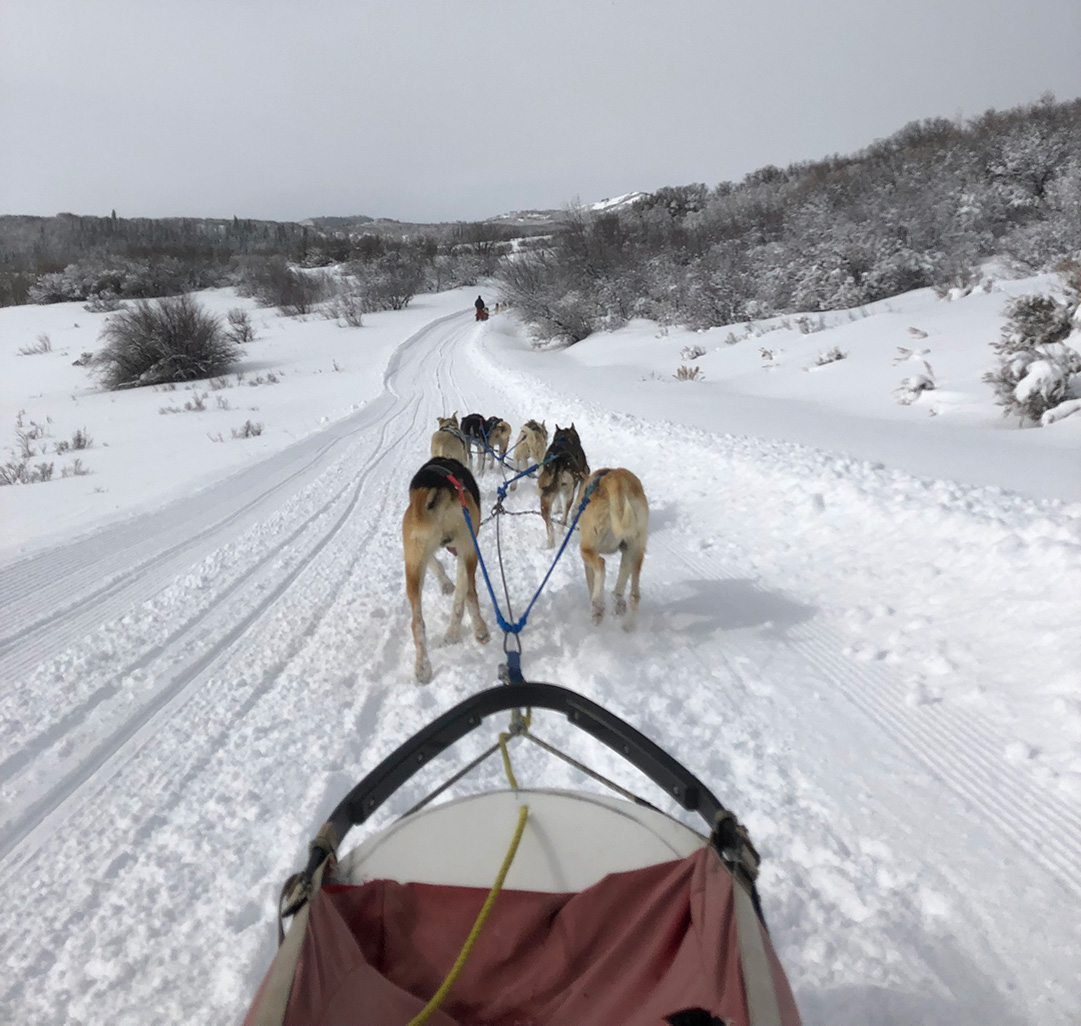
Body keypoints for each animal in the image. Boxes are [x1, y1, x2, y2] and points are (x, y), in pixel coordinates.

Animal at [402, 456, 490, 678]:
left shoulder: (419, 556)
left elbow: (436, 564)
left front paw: (446, 585)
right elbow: (464, 593)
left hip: (413, 567)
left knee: (417, 623)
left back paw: (423, 668)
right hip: (469, 550)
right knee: (469, 594)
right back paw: (476, 630)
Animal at [540, 421, 592, 549]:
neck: (564, 438)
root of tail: (558, 461)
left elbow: (557, 497)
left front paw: (557, 508)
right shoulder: (584, 475)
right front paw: (574, 512)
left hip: (545, 497)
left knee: (547, 521)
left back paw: (551, 542)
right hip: (569, 492)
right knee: (564, 517)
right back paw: (561, 530)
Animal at [579, 469, 644, 627]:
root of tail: (616, 481)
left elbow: (591, 581)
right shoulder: (626, 549)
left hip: (586, 548)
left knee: (600, 564)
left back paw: (597, 606)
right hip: (636, 549)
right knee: (634, 595)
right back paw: (627, 623)